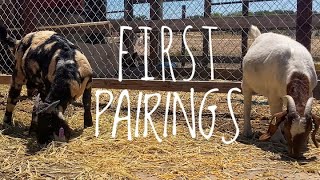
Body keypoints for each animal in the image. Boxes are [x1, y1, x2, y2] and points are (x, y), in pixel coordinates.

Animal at [244, 25, 318, 158]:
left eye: (307, 130)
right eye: (289, 131)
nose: (295, 154)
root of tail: (259, 36)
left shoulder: (310, 91)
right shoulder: (273, 96)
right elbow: (275, 113)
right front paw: (277, 138)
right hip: (246, 83)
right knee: (247, 107)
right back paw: (247, 131)